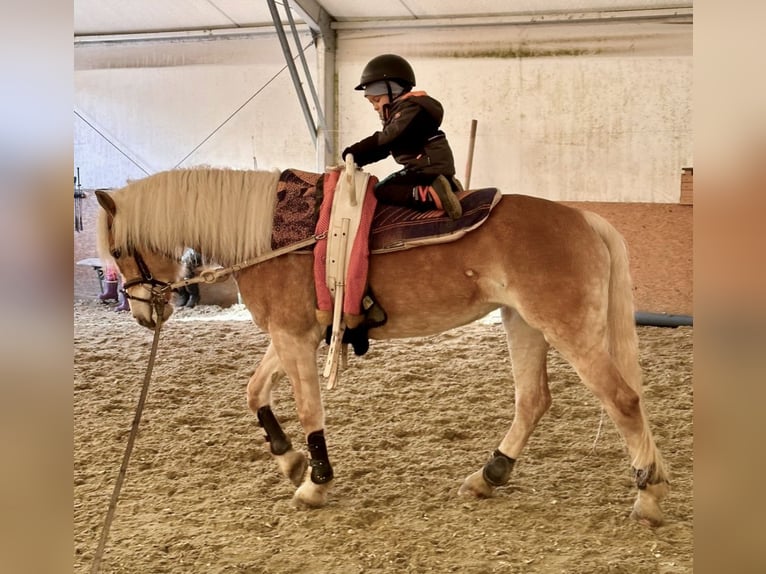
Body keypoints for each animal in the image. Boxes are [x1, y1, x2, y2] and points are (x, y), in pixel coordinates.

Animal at [94, 165, 672, 528]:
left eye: (119, 250)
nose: (144, 313)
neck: (273, 239)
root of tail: (584, 219)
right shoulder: (291, 337)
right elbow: (254, 392)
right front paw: (289, 461)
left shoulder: (293, 339)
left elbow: (309, 411)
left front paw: (315, 483)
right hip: (524, 324)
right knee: (533, 400)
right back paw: (489, 476)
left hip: (566, 329)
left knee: (622, 400)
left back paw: (647, 497)